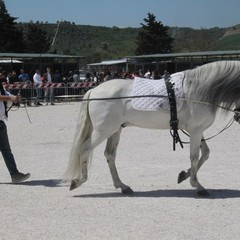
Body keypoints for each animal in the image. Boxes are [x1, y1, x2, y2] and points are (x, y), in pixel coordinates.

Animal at [63, 61, 240, 196]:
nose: (238, 116)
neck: (197, 90)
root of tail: (94, 90)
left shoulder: (196, 131)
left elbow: (205, 154)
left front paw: (184, 175)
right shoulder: (196, 131)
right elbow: (195, 157)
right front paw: (197, 185)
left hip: (115, 130)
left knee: (110, 155)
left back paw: (123, 186)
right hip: (103, 131)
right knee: (85, 148)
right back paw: (78, 181)